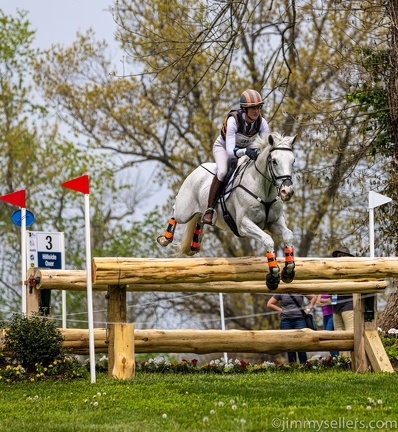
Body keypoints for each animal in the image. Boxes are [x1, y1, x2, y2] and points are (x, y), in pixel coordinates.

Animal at [157, 132, 296, 290]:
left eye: (293, 161)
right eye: (274, 161)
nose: (287, 192)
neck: (264, 188)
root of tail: (198, 168)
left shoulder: (274, 222)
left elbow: (288, 235)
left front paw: (288, 271)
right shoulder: (244, 225)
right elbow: (268, 240)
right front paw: (273, 277)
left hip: (199, 212)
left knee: (200, 218)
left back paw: (195, 245)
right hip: (184, 211)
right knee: (176, 211)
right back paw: (165, 239)